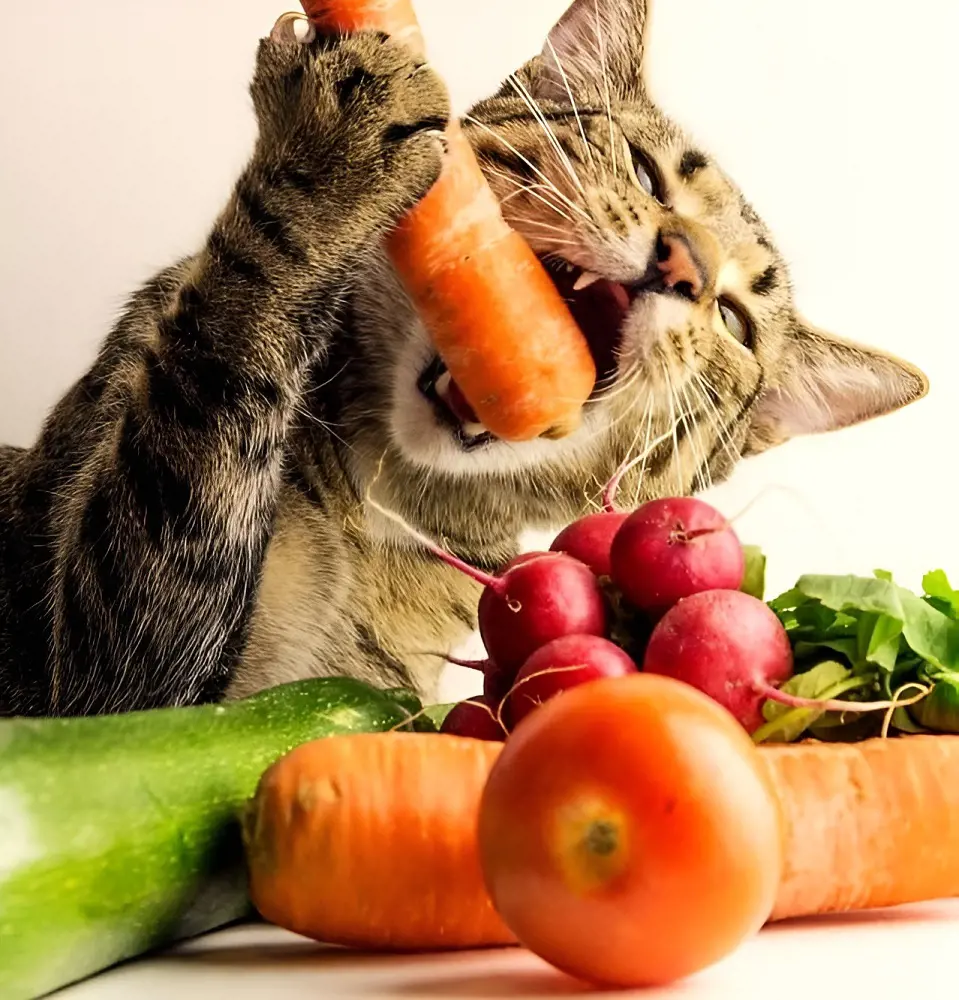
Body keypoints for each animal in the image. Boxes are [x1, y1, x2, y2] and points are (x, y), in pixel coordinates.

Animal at [0, 0, 928, 720]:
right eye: (644, 172)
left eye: (734, 323)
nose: (684, 265)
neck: (376, 500)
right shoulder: (91, 675)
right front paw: (332, 148)